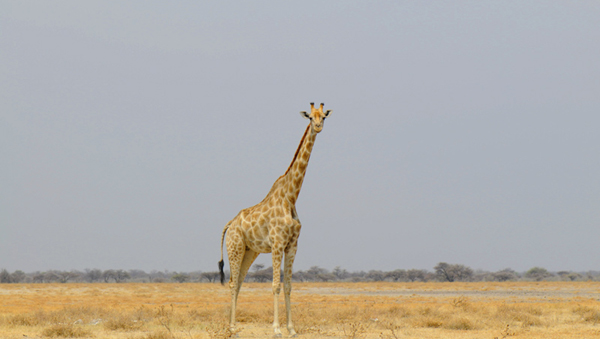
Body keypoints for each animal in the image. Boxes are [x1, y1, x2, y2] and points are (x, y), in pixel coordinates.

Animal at [219, 103, 332, 338]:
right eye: (310, 117)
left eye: (324, 116)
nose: (318, 127)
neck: (291, 196)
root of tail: (229, 224)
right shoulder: (277, 243)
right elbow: (275, 285)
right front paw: (277, 329)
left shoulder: (293, 245)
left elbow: (288, 286)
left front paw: (292, 329)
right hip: (235, 247)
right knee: (233, 283)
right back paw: (232, 328)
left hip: (249, 251)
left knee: (239, 281)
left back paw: (233, 325)